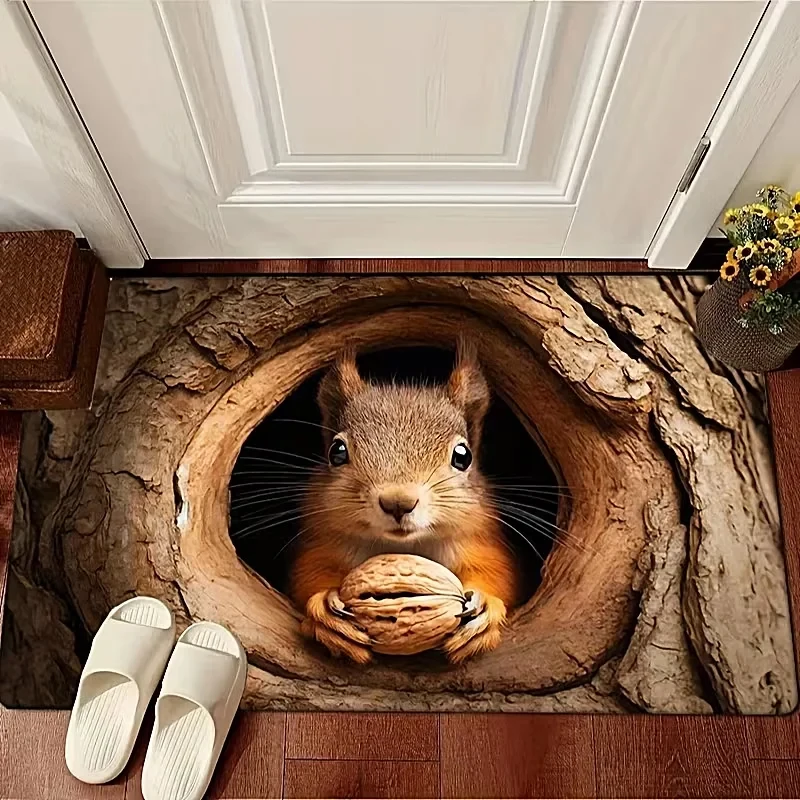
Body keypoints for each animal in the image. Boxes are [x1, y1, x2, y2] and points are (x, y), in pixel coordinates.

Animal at [290, 340, 522, 665]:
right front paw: (324, 607)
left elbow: (498, 574)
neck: (405, 546)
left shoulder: (478, 540)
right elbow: (308, 574)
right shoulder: (324, 540)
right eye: (337, 451)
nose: (398, 502)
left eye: (463, 456)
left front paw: (486, 607)